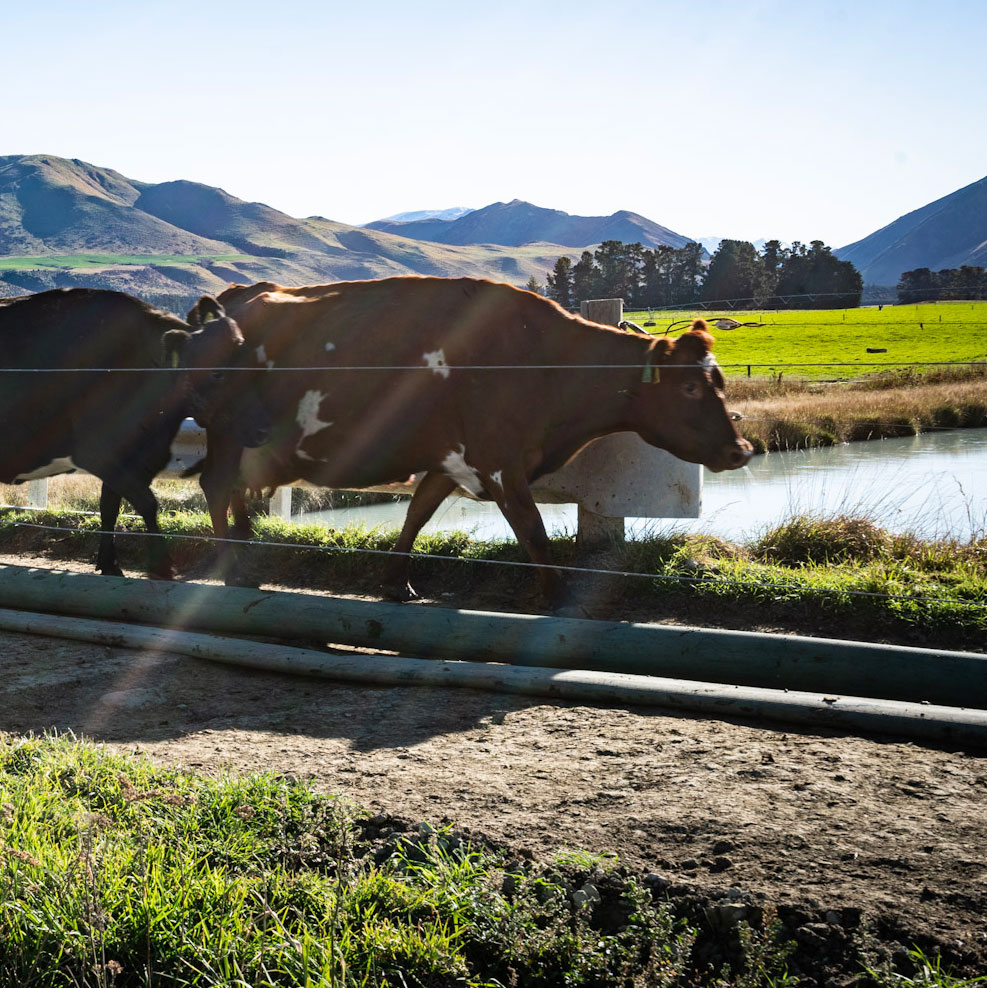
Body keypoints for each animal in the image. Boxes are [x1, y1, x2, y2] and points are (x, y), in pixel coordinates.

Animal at [197, 274, 752, 604]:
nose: (741, 450)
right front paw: (556, 593)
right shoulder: (500, 462)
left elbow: (416, 514)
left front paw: (397, 583)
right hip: (226, 430)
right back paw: (230, 568)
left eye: (720, 379)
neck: (546, 360)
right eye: (689, 386)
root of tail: (238, 293)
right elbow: (532, 530)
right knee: (216, 485)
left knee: (234, 488)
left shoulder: (451, 460)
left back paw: (245, 551)